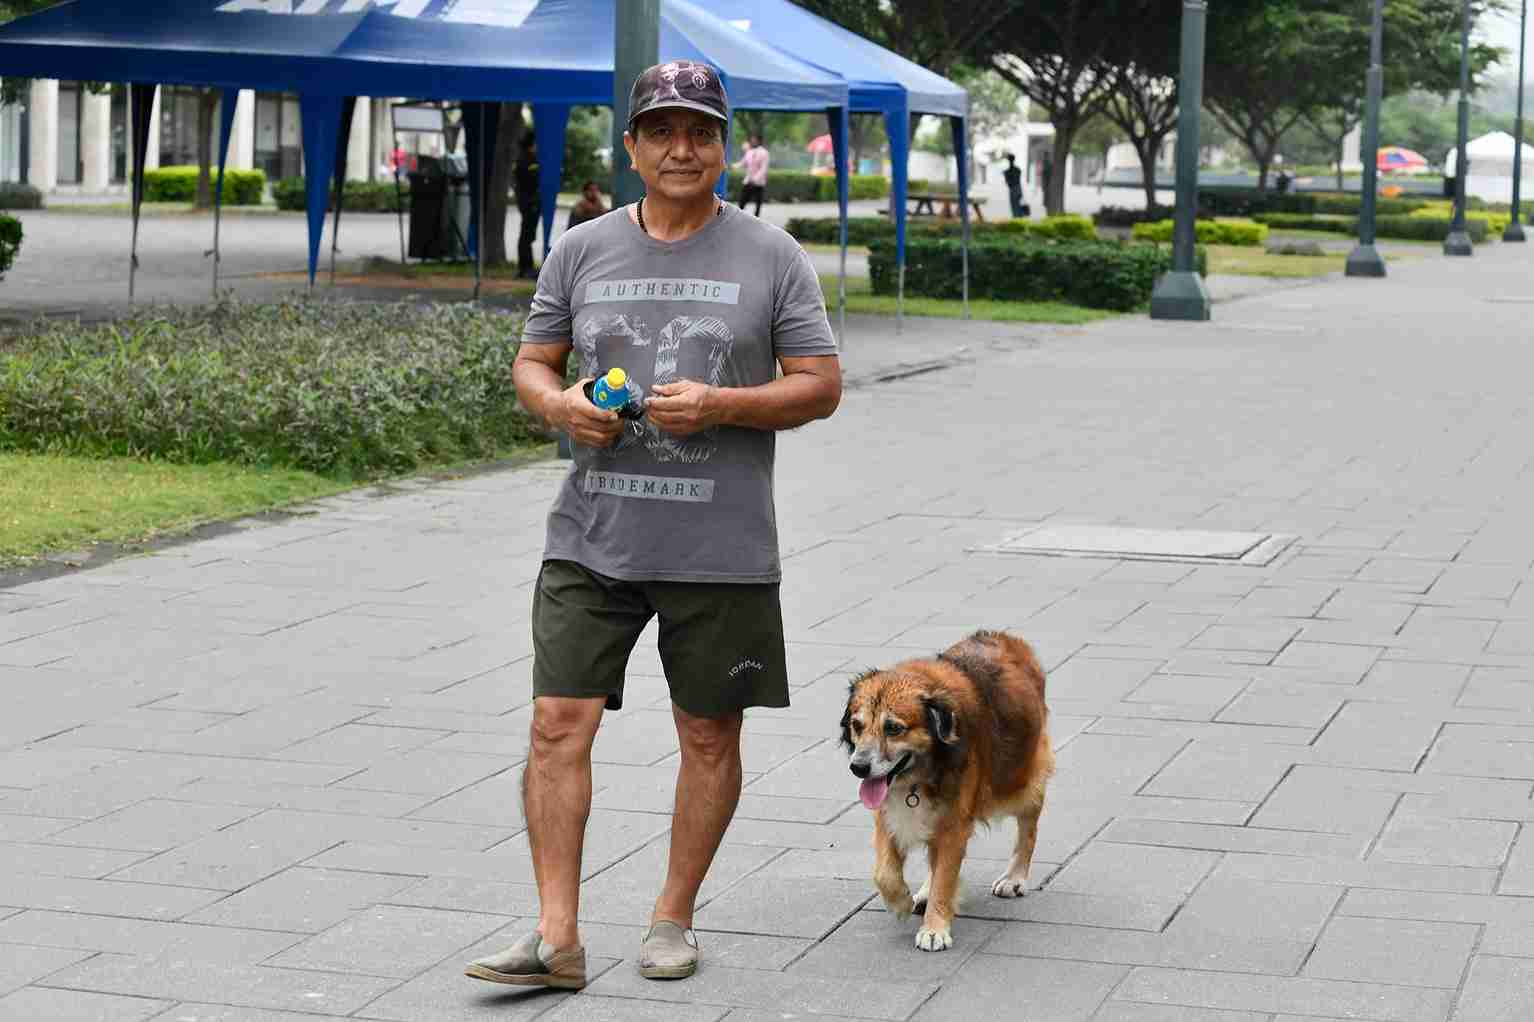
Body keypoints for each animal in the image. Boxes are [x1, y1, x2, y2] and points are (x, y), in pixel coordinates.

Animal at [840, 626, 1055, 951]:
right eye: (857, 725)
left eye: (894, 728)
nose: (858, 767)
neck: (921, 773)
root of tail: (1006, 637)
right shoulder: (889, 813)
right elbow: (885, 871)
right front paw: (900, 902)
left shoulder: (955, 821)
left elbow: (945, 877)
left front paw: (934, 929)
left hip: (1021, 779)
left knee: (1028, 827)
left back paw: (1014, 877)